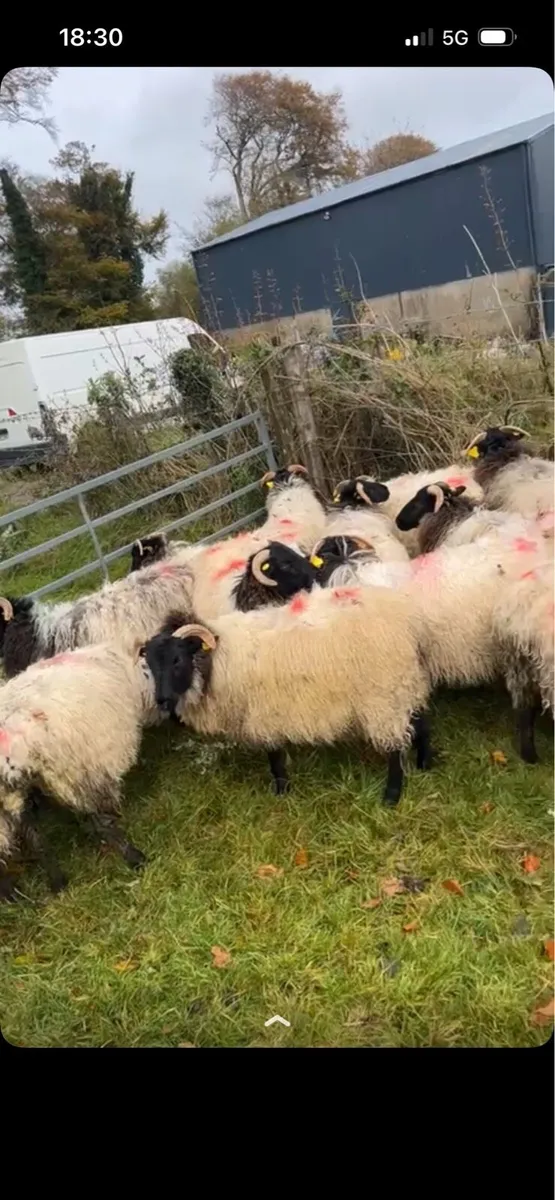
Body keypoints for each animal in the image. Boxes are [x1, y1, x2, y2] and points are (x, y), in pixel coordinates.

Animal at [0, 638, 186, 898]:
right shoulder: (91, 768)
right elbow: (101, 819)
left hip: (11, 799)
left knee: (31, 834)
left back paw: (51, 884)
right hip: (73, 773)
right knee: (96, 822)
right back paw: (135, 858)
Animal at [142, 586, 434, 807]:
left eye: (177, 659)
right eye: (150, 665)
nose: (162, 701)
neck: (220, 660)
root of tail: (409, 621)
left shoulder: (265, 713)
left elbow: (274, 757)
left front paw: (282, 791)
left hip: (384, 695)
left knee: (395, 746)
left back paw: (391, 797)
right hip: (405, 683)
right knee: (421, 721)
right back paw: (425, 763)